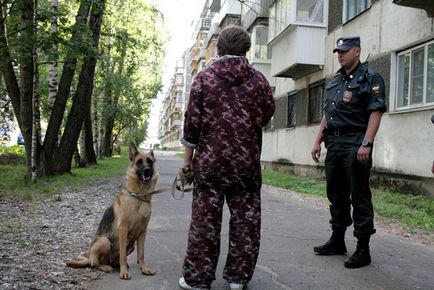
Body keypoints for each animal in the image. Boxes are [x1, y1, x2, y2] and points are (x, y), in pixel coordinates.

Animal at [66, 143, 158, 278]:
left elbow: (141, 254)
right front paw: (124, 272)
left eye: (150, 162)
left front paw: (144, 269)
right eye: (139, 162)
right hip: (105, 241)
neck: (138, 196)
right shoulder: (123, 229)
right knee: (95, 263)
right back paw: (105, 267)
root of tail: (89, 255)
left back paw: (114, 265)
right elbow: (123, 256)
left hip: (131, 246)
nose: (146, 170)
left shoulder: (142, 231)